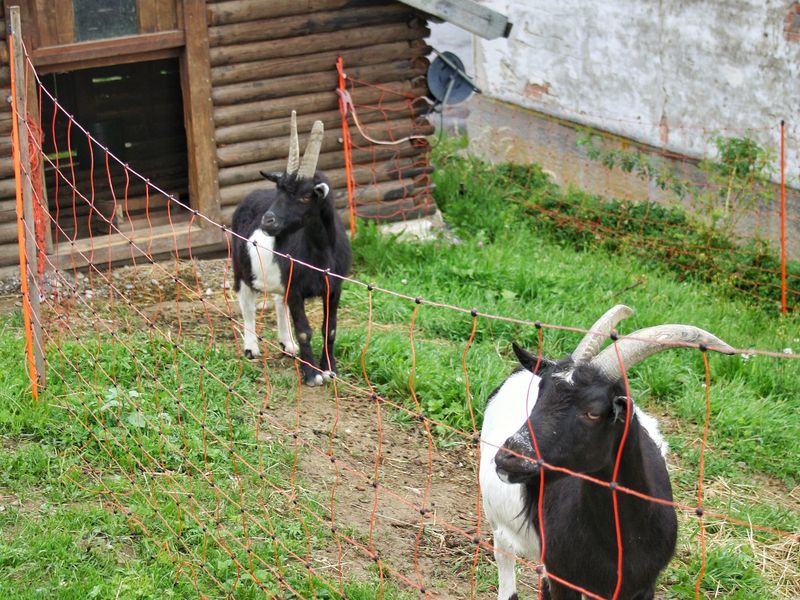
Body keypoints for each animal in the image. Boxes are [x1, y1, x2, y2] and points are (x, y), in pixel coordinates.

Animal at [230, 111, 352, 384]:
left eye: (307, 196)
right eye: (279, 190)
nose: (268, 220)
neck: (320, 254)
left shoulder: (334, 287)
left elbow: (330, 328)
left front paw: (330, 369)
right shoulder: (295, 287)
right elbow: (305, 330)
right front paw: (311, 375)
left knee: (278, 302)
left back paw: (287, 344)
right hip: (241, 268)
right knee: (247, 304)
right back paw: (251, 348)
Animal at [478, 308, 736, 600]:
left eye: (593, 412)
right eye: (540, 393)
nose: (509, 457)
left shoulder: (642, 586)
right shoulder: (564, 577)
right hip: (498, 520)